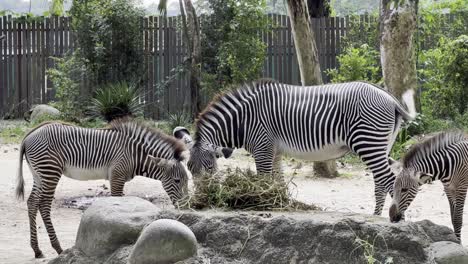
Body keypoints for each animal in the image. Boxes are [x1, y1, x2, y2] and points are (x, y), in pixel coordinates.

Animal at [15, 119, 190, 258]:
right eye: (177, 180)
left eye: (187, 180)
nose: (186, 208)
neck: (135, 154)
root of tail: (30, 134)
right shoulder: (117, 177)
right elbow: (117, 202)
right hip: (50, 171)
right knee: (44, 205)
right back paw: (57, 248)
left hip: (39, 174)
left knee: (32, 202)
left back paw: (37, 250)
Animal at [176, 79, 416, 216]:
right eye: (190, 169)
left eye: (209, 168)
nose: (199, 202)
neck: (243, 120)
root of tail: (390, 98)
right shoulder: (274, 152)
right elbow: (277, 181)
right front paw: (281, 204)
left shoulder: (262, 148)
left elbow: (264, 179)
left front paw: (262, 205)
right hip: (380, 145)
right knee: (380, 180)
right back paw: (376, 216)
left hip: (367, 141)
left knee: (388, 179)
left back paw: (395, 218)